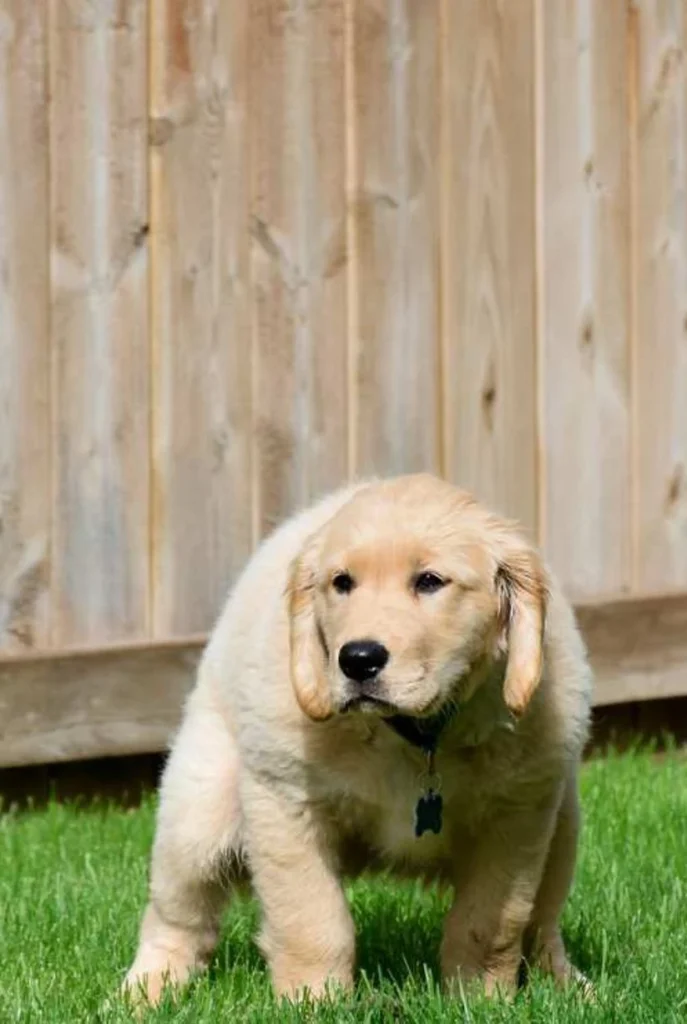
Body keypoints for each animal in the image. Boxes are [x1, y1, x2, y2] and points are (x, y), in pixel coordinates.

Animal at [126, 475, 593, 1003]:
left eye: (430, 581)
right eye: (342, 583)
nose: (358, 659)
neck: (415, 735)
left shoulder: (518, 816)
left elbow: (490, 924)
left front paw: (481, 999)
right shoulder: (285, 802)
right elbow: (312, 921)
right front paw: (313, 1000)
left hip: (564, 826)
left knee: (542, 925)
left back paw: (568, 986)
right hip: (197, 812)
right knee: (177, 916)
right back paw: (144, 993)